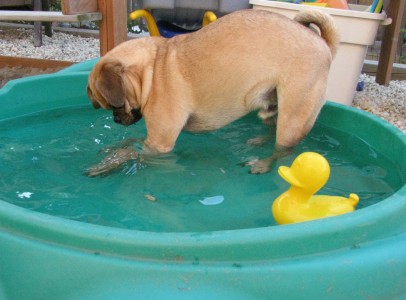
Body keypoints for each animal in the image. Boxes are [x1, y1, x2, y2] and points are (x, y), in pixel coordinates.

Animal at [86, 8, 340, 176]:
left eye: (115, 105)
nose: (116, 118)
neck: (153, 69)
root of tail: (323, 43)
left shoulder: (159, 144)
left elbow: (132, 151)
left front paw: (108, 164)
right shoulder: (153, 139)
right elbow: (131, 141)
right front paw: (112, 149)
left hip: (293, 119)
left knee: (284, 149)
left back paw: (263, 164)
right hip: (272, 104)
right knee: (272, 128)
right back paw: (258, 141)